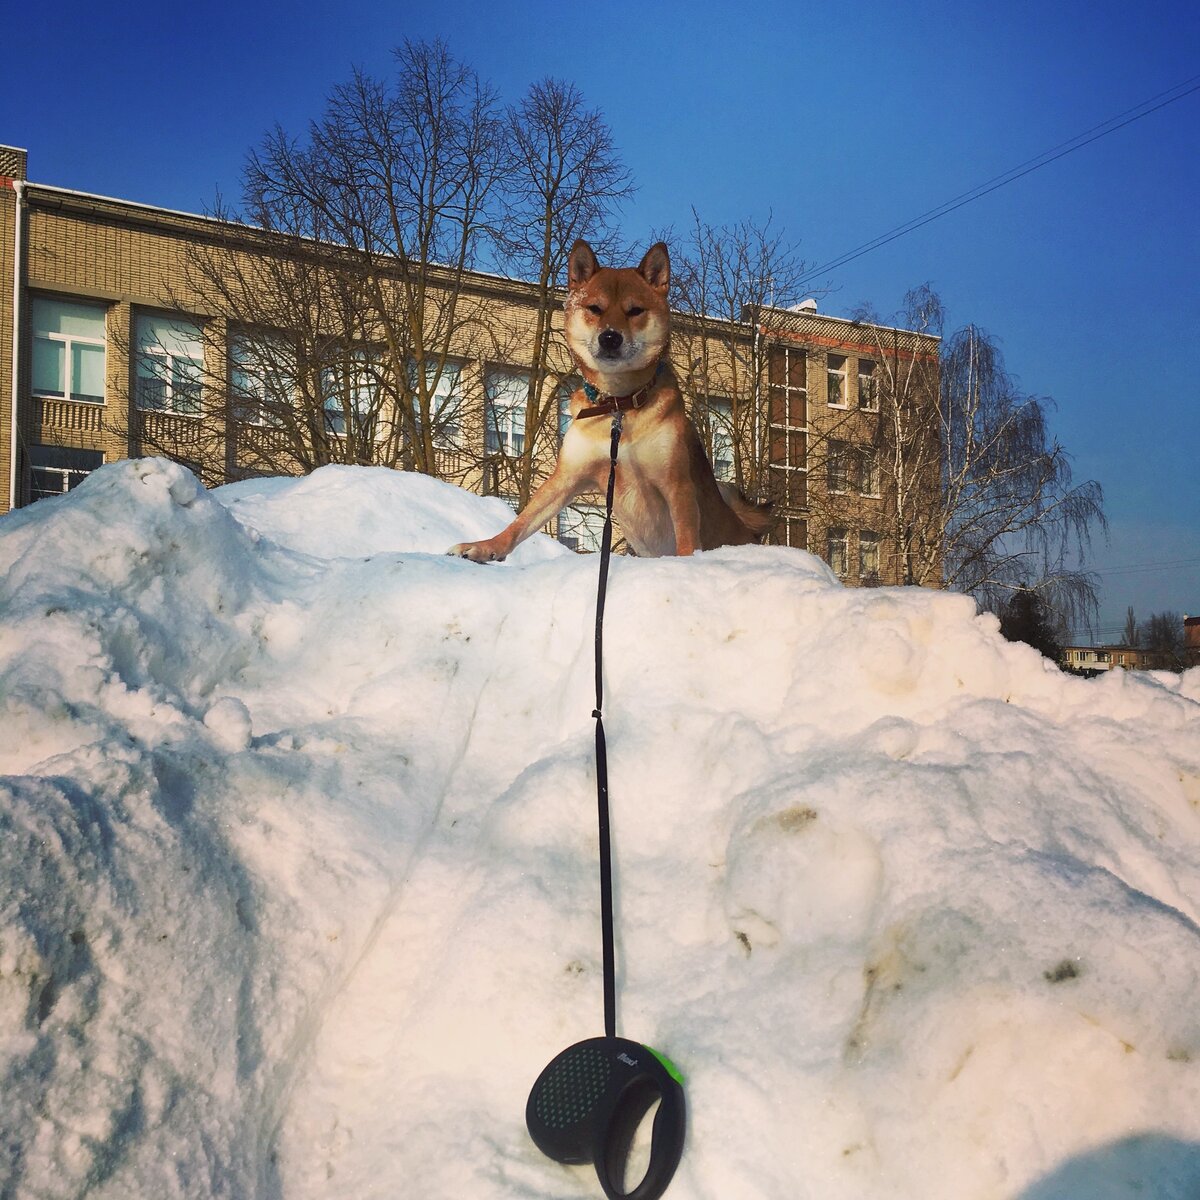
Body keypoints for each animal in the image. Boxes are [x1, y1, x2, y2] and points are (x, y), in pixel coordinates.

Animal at [446, 241, 772, 564]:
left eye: (635, 310)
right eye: (595, 308)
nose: (610, 337)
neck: (619, 404)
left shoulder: (677, 484)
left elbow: (687, 538)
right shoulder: (567, 477)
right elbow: (523, 521)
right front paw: (486, 546)